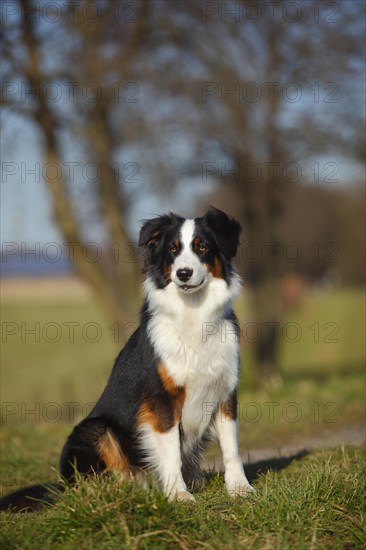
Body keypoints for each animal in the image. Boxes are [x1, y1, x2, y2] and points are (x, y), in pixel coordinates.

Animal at [0, 208, 254, 512]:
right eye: (172, 249)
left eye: (202, 247)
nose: (183, 273)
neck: (193, 313)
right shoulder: (161, 399)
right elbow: (170, 450)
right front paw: (177, 495)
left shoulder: (225, 389)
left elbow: (231, 447)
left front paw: (239, 488)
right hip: (95, 429)